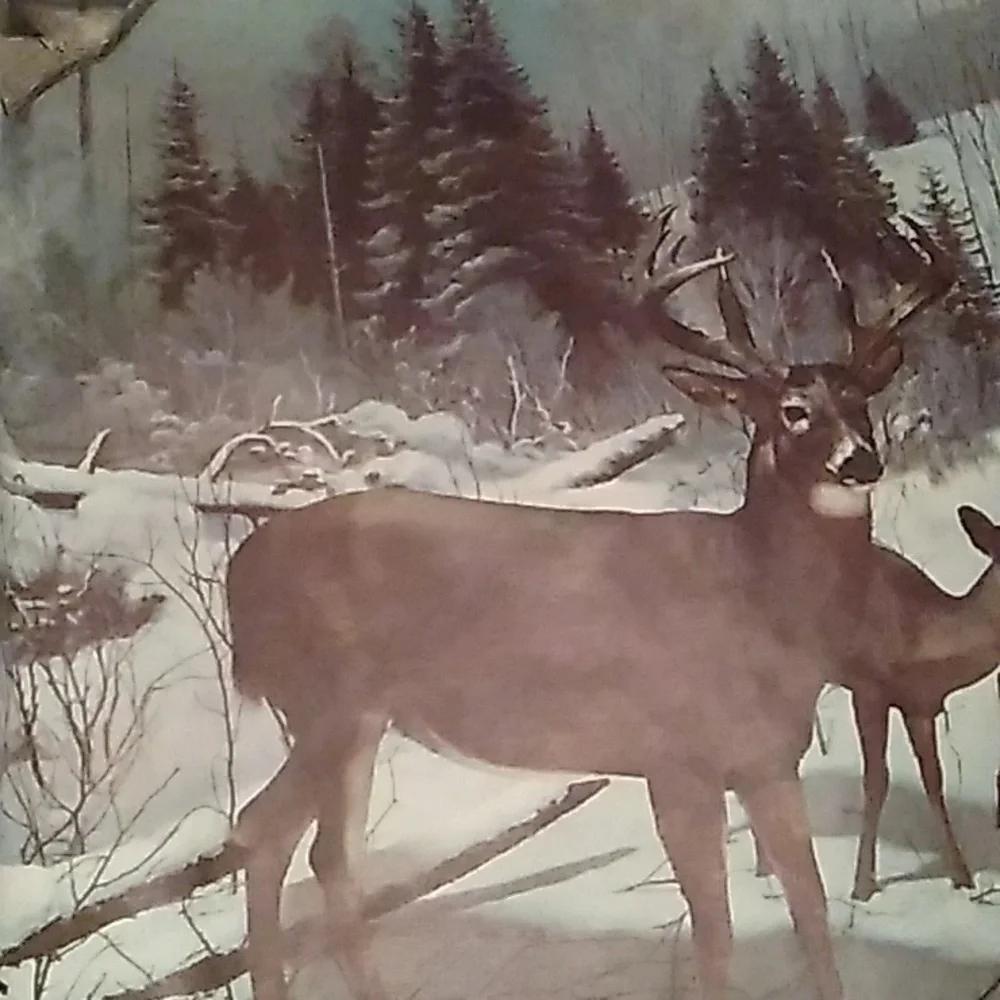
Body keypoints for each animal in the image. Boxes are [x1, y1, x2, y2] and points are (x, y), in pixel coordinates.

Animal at [224, 221, 951, 1000]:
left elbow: (811, 912)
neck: (755, 598)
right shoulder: (676, 760)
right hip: (323, 701)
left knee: (325, 854)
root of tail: (240, 571)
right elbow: (717, 935)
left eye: (861, 400)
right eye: (793, 412)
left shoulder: (768, 761)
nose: (861, 461)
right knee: (263, 831)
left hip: (356, 721)